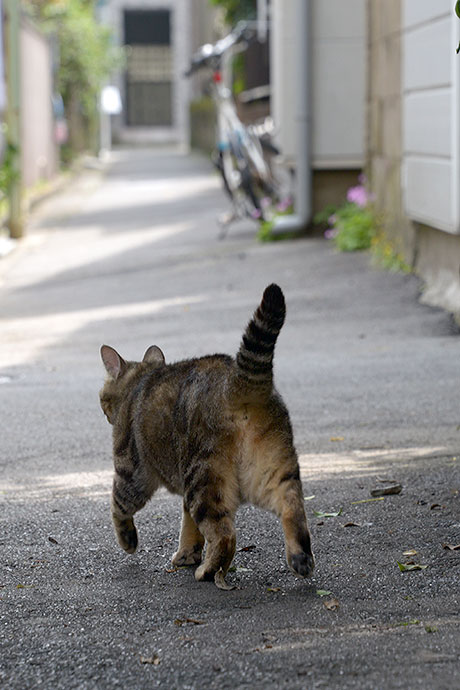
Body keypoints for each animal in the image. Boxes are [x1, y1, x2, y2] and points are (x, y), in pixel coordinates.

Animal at [99, 282, 312, 588]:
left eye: (102, 398)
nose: (104, 411)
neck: (140, 381)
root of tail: (235, 382)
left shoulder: (131, 472)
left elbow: (118, 507)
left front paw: (128, 541)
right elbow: (189, 527)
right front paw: (187, 554)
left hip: (203, 479)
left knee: (226, 535)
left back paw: (209, 571)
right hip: (269, 470)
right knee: (291, 506)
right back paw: (300, 559)